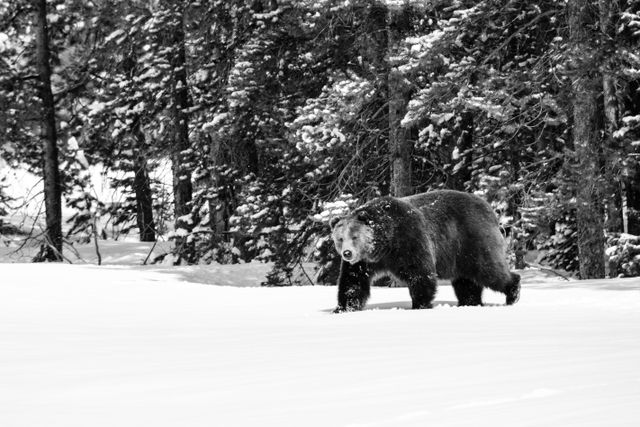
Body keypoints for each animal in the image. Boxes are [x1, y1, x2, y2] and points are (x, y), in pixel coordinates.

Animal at [330, 192, 520, 312]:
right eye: (340, 238)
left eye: (354, 236)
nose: (347, 253)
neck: (384, 246)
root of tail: (488, 208)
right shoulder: (364, 262)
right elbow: (353, 282)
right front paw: (343, 308)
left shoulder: (409, 240)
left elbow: (420, 274)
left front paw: (419, 304)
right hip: (460, 255)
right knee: (466, 282)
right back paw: (470, 302)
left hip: (472, 240)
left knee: (489, 270)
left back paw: (513, 293)